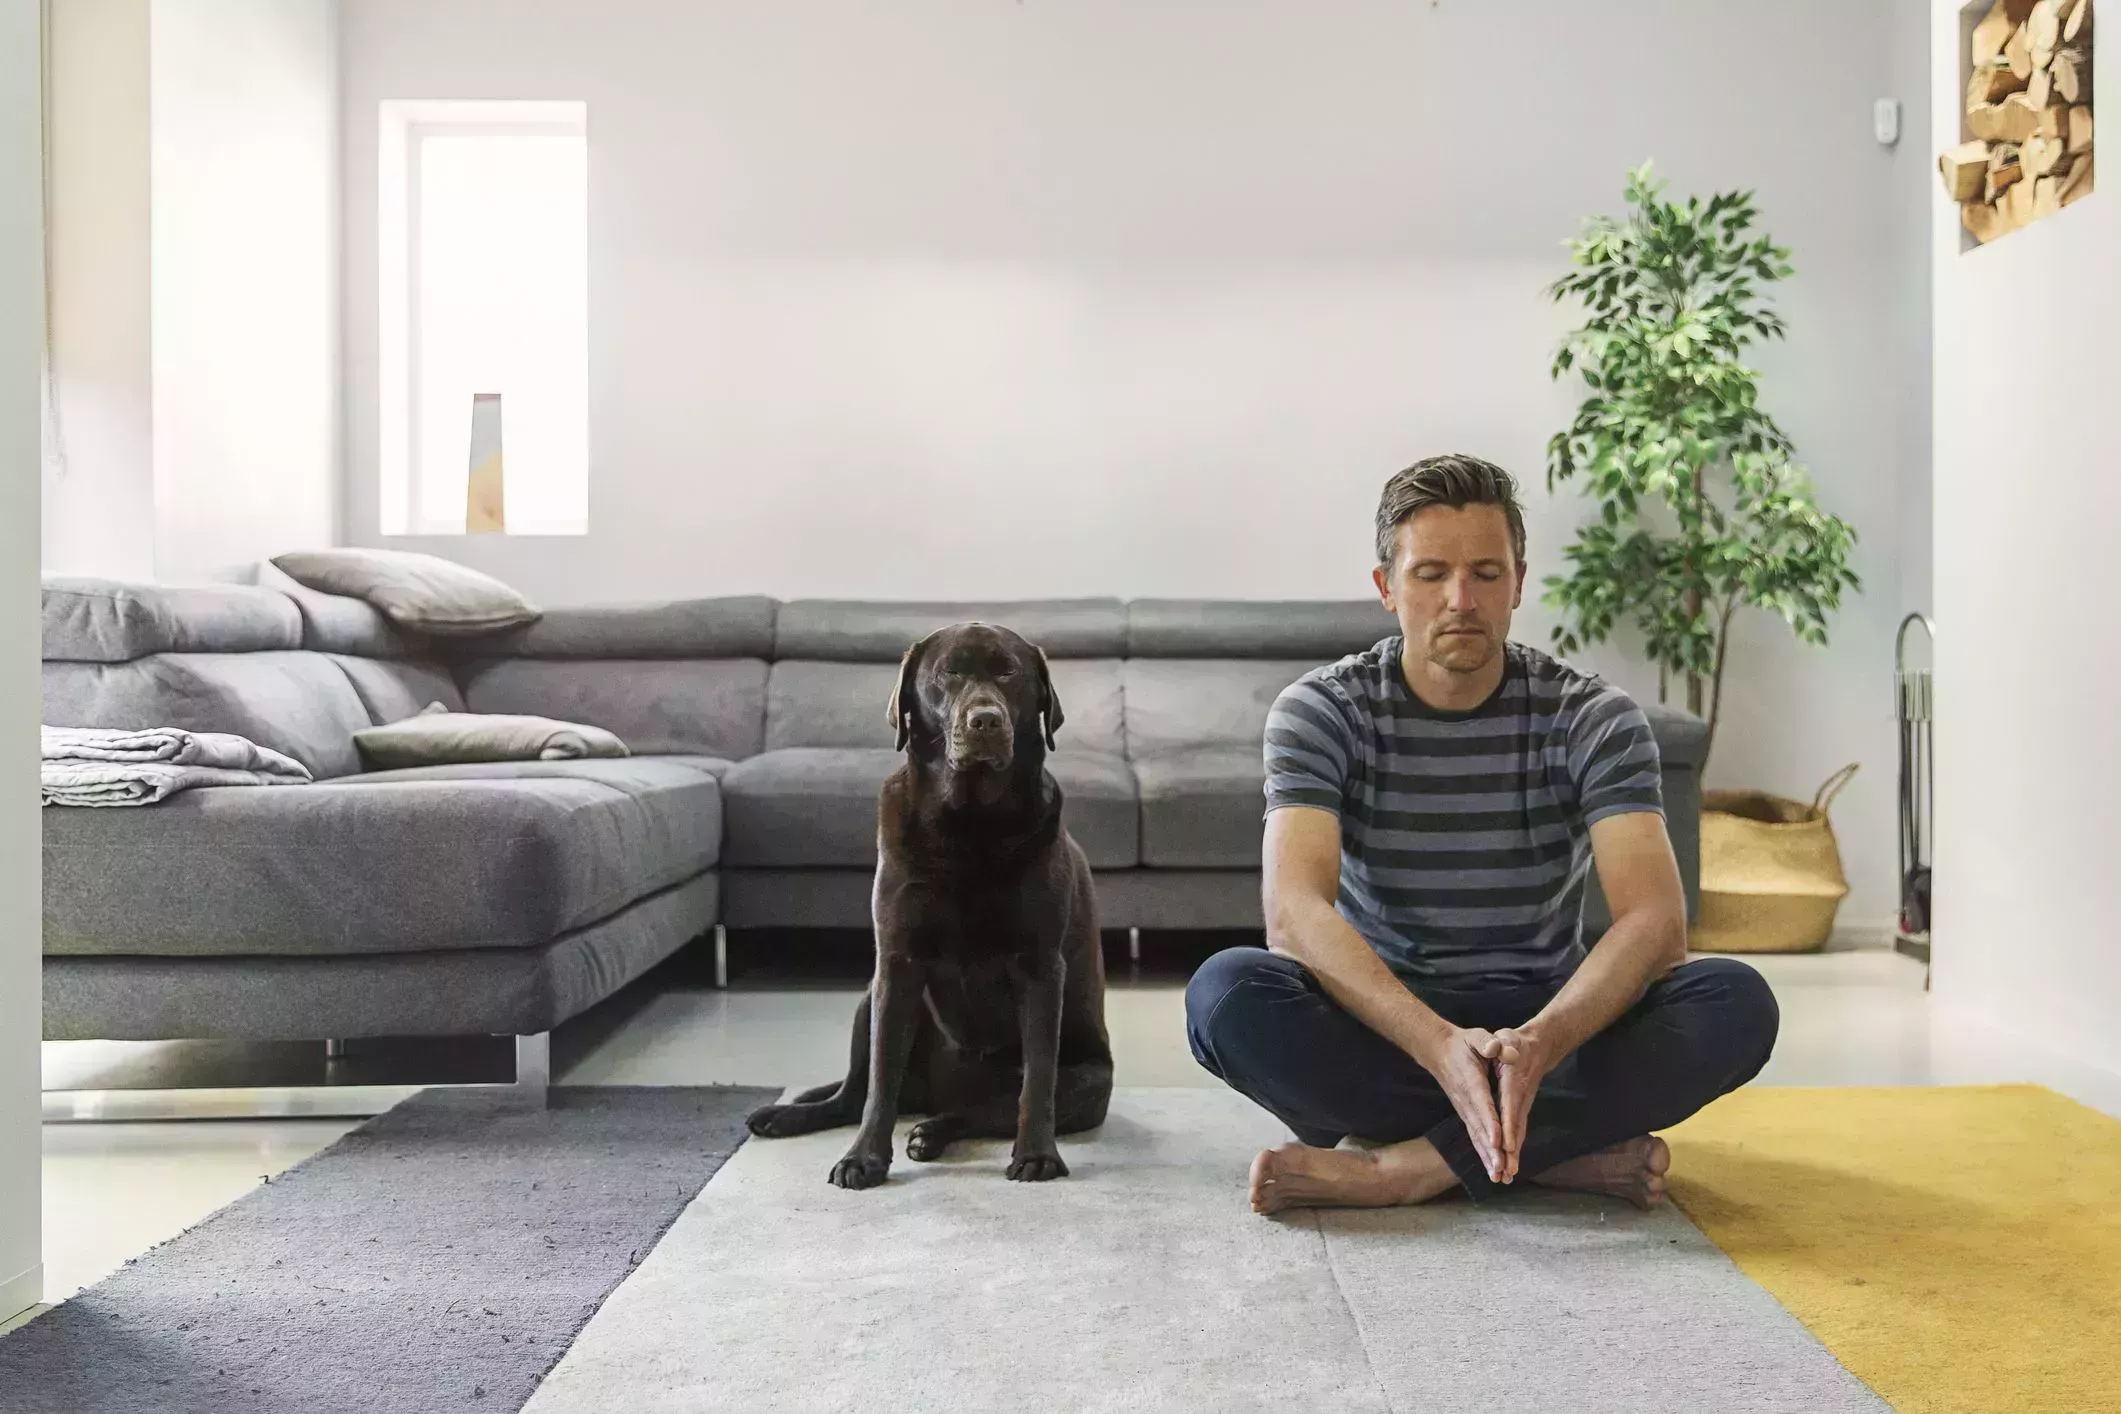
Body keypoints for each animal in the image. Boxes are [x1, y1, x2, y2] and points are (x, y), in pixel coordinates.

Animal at [742, 623, 1111, 1187]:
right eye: (948, 673)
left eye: (1009, 673)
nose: (985, 720)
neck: (970, 825)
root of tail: (932, 1095)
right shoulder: (896, 963)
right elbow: (879, 1087)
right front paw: (863, 1158)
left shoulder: (1041, 968)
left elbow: (1037, 1082)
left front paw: (1037, 1155)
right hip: (868, 1000)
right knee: (853, 1095)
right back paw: (786, 1116)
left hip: (1088, 1085)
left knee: (982, 1110)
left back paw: (930, 1132)